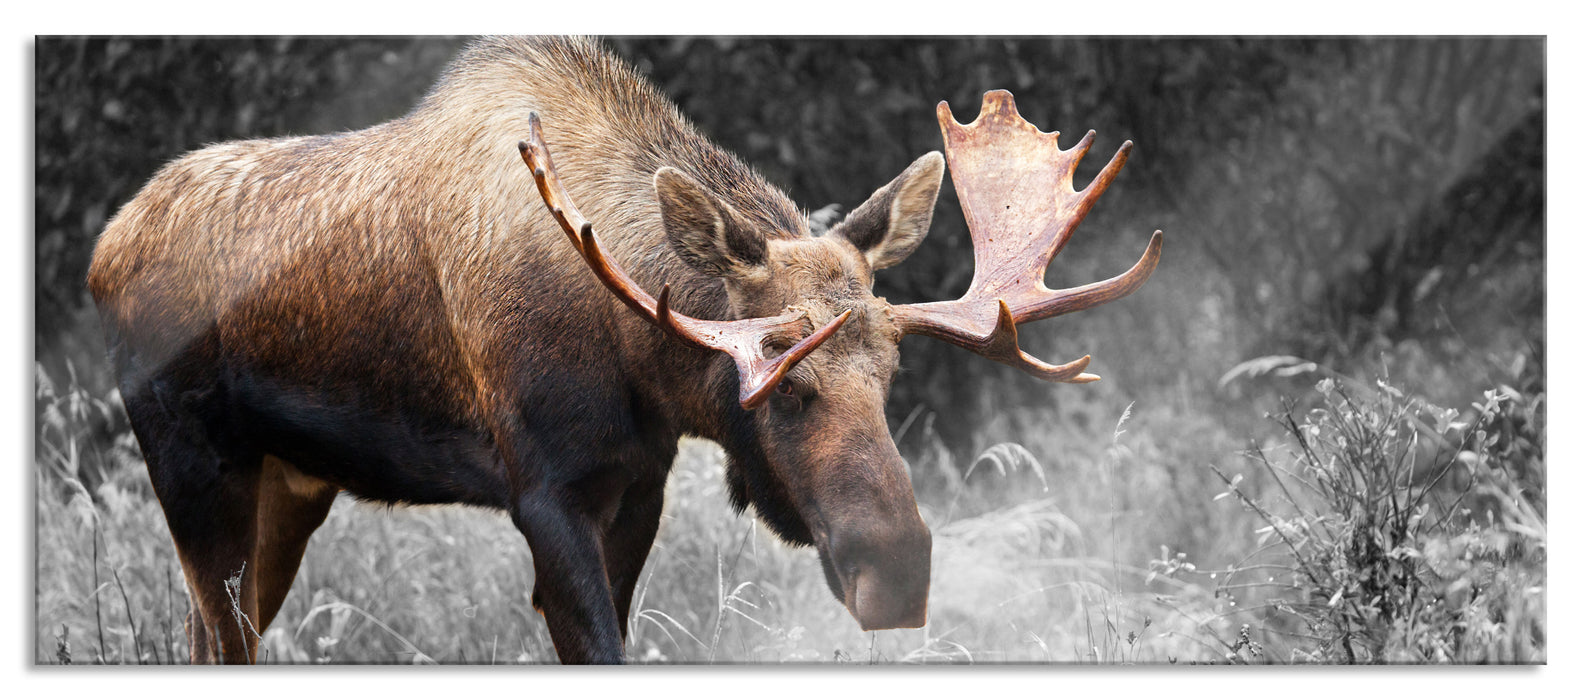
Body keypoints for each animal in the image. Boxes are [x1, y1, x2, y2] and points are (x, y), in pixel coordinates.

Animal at [86, 36, 1164, 661]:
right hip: (195, 467)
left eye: (890, 375)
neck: (641, 363)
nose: (896, 570)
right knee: (215, 634)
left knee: (211, 632)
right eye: (782, 385)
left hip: (292, 484)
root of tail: (103, 249)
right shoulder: (544, 491)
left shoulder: (637, 482)